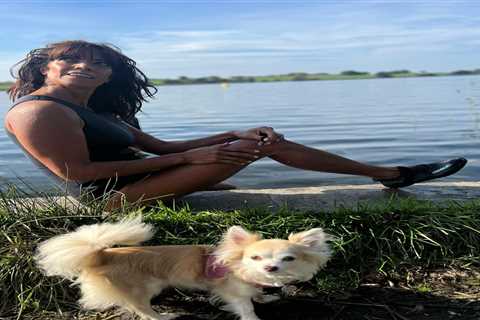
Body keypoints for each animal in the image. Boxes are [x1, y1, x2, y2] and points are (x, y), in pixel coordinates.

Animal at [35, 216, 332, 318]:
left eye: (288, 259)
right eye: (255, 258)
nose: (270, 268)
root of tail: (101, 253)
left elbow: (256, 294)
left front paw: (265, 297)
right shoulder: (233, 292)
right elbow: (245, 306)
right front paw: (253, 318)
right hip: (145, 288)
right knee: (141, 310)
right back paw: (164, 316)